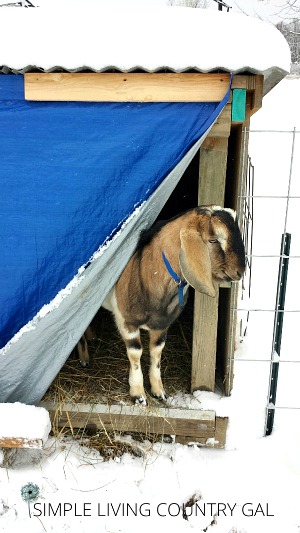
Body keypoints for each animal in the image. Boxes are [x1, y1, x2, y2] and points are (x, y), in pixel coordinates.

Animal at [76, 206, 245, 406]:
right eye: (213, 239)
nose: (240, 272)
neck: (146, 271)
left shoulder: (163, 323)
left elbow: (156, 351)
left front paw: (159, 391)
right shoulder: (127, 321)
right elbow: (135, 353)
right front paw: (138, 395)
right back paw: (84, 358)